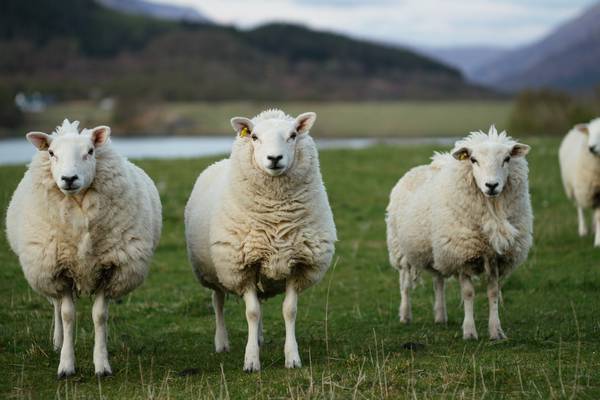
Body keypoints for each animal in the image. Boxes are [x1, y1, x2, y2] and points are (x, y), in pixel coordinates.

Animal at [5, 119, 164, 378]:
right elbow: (67, 315)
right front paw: (66, 365)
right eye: (51, 153)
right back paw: (58, 342)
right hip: (48, 270)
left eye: (90, 151)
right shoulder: (60, 270)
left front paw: (101, 364)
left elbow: (99, 316)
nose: (69, 178)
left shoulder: (108, 269)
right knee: (57, 306)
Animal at [186, 108, 338, 372]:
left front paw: (292, 357)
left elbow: (289, 311)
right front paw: (251, 361)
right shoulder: (242, 266)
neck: (275, 215)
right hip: (215, 270)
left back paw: (257, 338)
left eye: (293, 134)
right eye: (255, 137)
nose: (274, 158)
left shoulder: (298, 264)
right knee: (218, 302)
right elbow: (252, 313)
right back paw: (222, 342)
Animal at [386, 126, 532, 340]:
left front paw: (496, 331)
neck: (492, 212)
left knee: (438, 281)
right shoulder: (463, 255)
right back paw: (405, 315)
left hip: (438, 250)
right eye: (473, 159)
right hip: (401, 249)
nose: (491, 185)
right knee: (405, 284)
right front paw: (469, 332)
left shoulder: (495, 257)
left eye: (507, 159)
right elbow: (469, 293)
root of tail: (422, 167)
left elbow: (493, 293)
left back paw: (440, 316)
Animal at [556, 117, 600, 245]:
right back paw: (583, 230)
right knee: (580, 207)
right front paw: (598, 242)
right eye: (589, 132)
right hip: (576, 188)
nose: (591, 148)